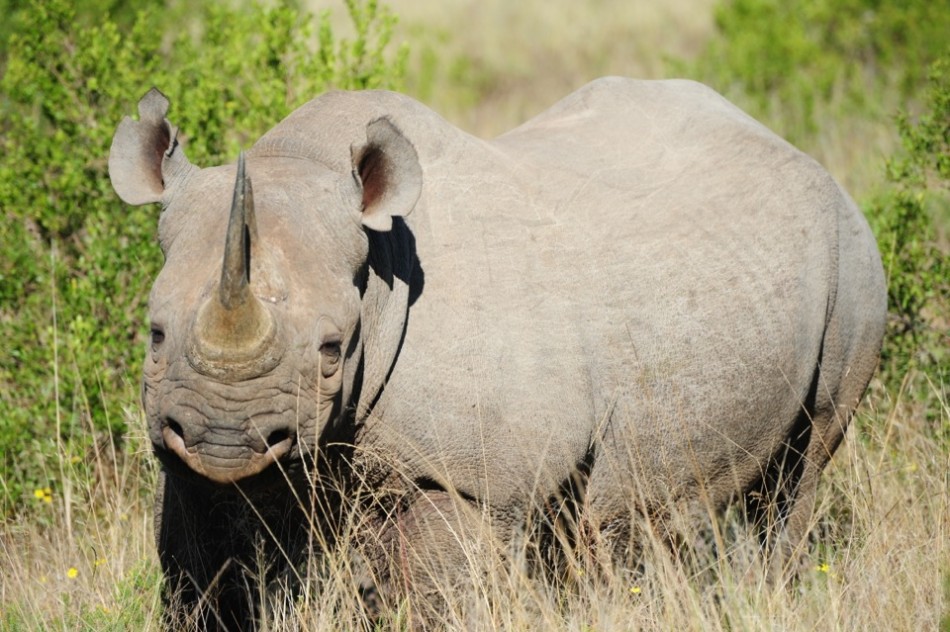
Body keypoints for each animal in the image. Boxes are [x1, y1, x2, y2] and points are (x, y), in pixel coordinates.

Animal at [109, 77, 886, 629]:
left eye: (333, 349)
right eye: (154, 333)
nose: (226, 440)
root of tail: (792, 147)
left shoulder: (475, 476)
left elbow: (441, 597)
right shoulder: (185, 455)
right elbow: (205, 574)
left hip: (852, 255)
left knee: (804, 461)